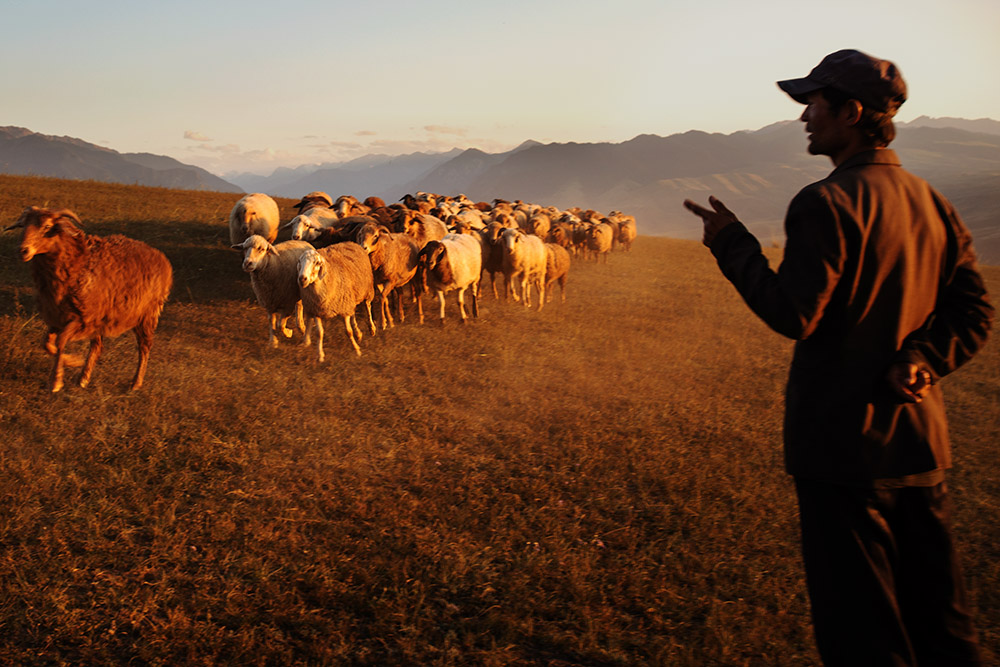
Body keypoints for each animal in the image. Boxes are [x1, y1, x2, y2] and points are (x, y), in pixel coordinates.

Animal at [4, 207, 173, 392]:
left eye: (47, 226)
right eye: (23, 225)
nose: (23, 250)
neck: (77, 264)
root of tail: (162, 258)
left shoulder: (81, 319)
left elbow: (60, 342)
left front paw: (56, 380)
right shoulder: (58, 318)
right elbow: (47, 344)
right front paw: (72, 361)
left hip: (147, 315)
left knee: (144, 347)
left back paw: (136, 383)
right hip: (102, 318)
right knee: (98, 346)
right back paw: (83, 378)